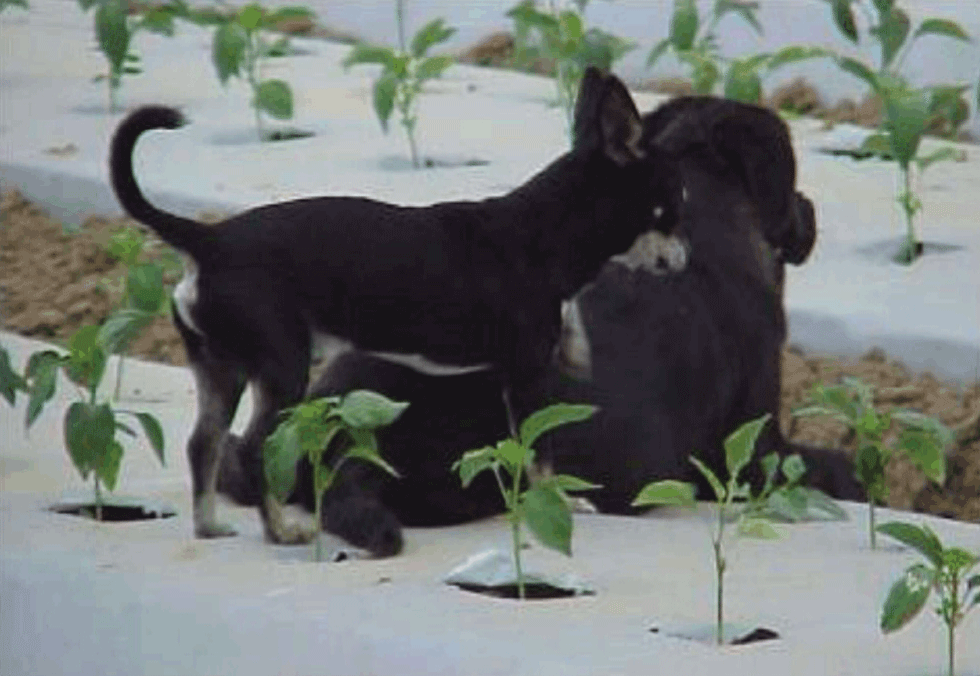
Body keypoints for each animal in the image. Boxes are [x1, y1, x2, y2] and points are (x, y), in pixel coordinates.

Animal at [109, 67, 680, 544]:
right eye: (674, 205)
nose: (683, 257)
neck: (543, 232)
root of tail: (208, 240)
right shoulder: (526, 376)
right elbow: (537, 454)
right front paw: (554, 503)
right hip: (282, 367)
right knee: (255, 449)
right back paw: (282, 532)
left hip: (219, 368)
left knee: (202, 444)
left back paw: (208, 525)